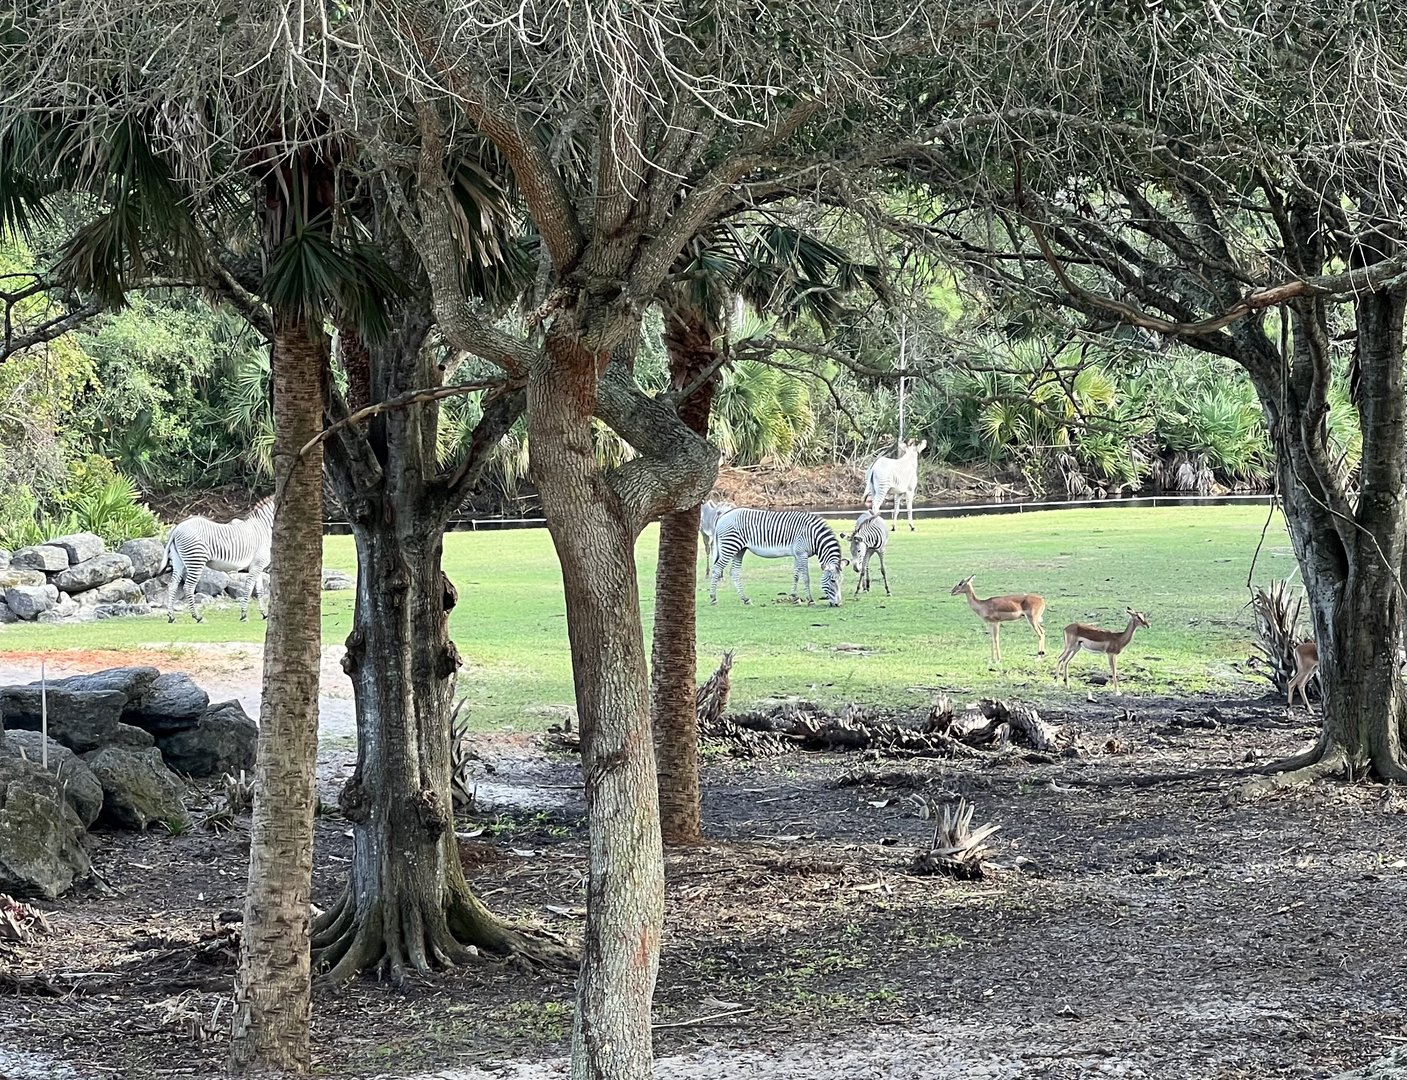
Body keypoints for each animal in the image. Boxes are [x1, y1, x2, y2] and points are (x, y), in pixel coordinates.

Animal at [708, 508, 847, 607]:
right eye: (833, 581)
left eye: (841, 581)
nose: (838, 604)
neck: (814, 536)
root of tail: (723, 516)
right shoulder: (802, 553)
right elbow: (806, 577)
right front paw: (810, 600)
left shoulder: (797, 554)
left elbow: (796, 575)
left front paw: (794, 596)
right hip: (730, 546)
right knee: (716, 569)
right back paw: (713, 598)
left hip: (740, 549)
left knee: (734, 572)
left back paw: (745, 599)